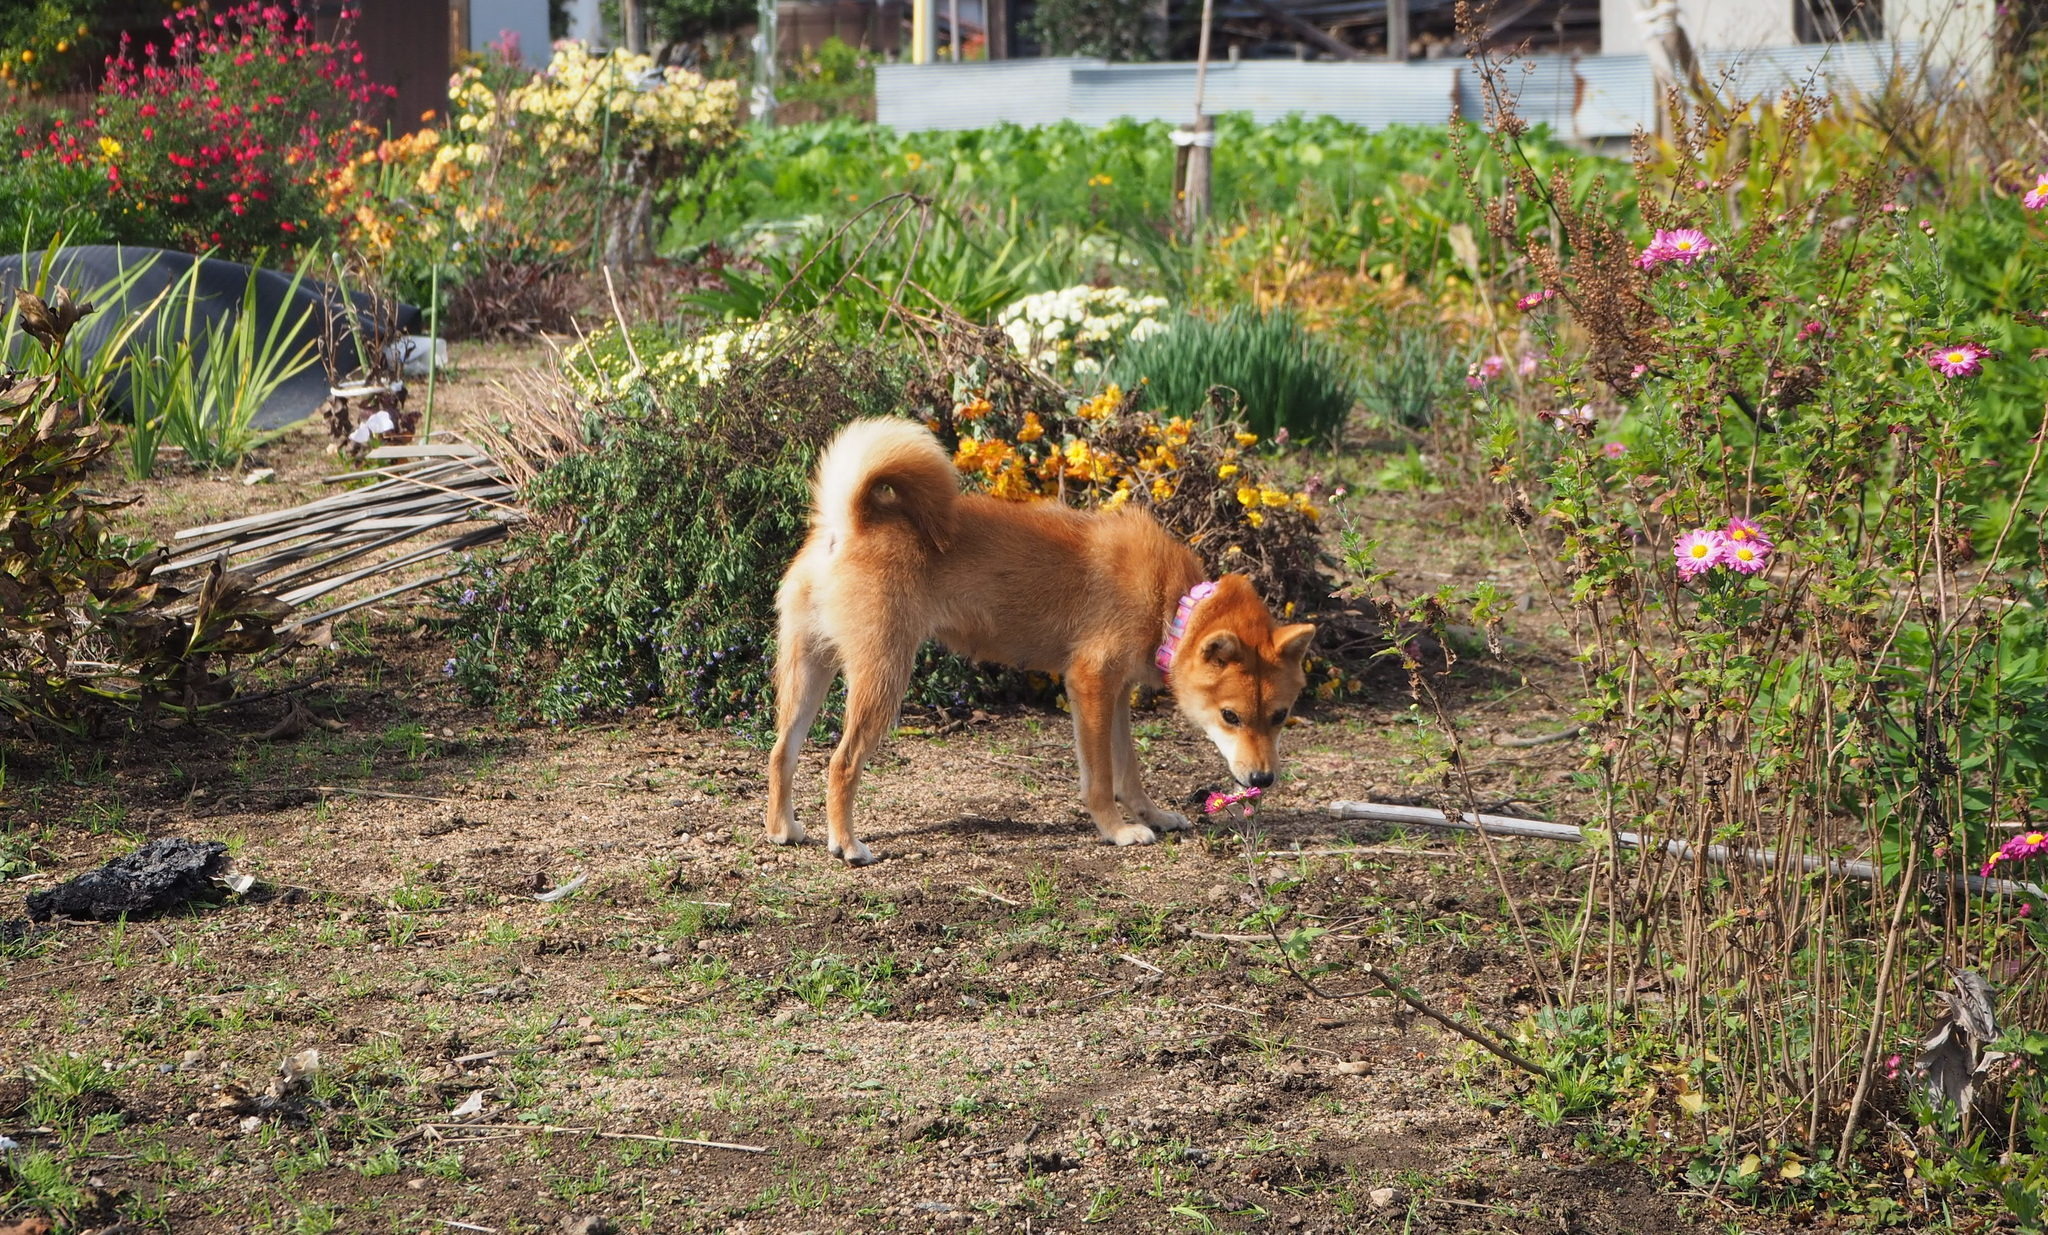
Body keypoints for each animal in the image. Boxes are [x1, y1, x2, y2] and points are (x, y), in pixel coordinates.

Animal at [765, 419, 1310, 864]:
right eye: (1231, 716)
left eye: (1280, 716)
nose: (1263, 781)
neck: (1171, 602)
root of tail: (850, 521)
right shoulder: (1090, 686)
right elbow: (1101, 779)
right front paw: (1116, 831)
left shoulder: (1116, 696)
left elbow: (1129, 772)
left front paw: (1151, 816)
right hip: (883, 677)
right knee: (841, 762)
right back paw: (847, 845)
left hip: (807, 672)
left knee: (781, 751)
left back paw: (783, 829)